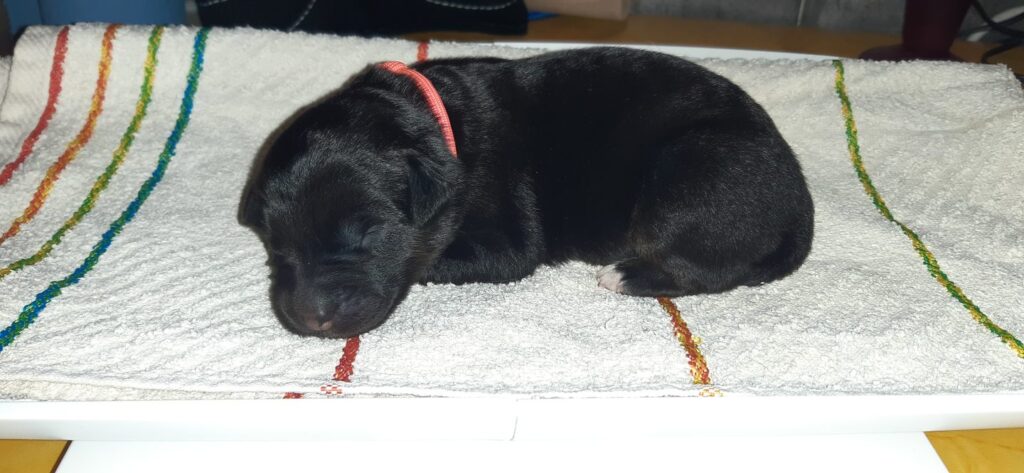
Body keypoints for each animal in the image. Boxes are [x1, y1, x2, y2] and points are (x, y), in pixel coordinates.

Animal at [240, 47, 814, 339]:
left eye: (368, 235)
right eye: (275, 246)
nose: (310, 319)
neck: (442, 126)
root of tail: (799, 201)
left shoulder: (508, 241)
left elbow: (439, 261)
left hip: (687, 178)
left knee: (710, 268)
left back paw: (626, 275)